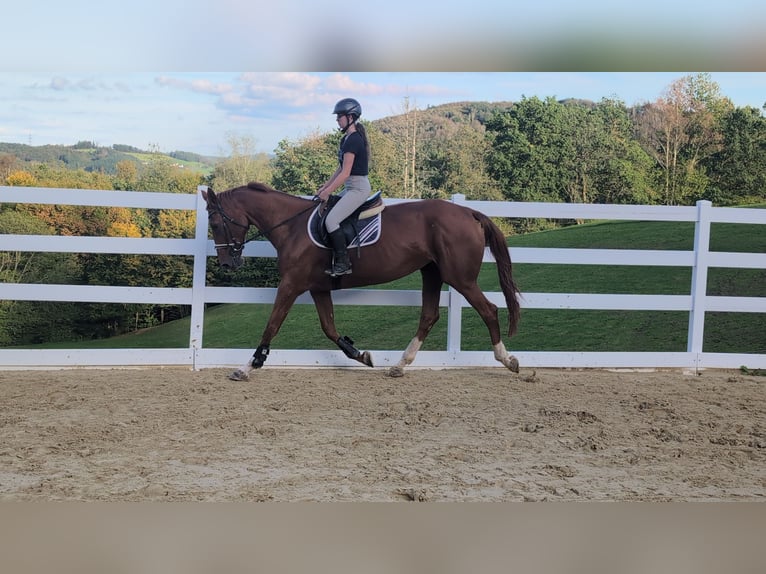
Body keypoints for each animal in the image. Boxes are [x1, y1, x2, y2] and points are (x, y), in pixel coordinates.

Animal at [202, 182, 521, 381]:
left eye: (215, 223)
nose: (227, 263)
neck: (291, 227)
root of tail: (469, 212)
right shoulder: (318, 288)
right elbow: (329, 328)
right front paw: (361, 355)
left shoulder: (291, 284)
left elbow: (272, 324)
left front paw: (247, 367)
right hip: (431, 272)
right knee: (429, 315)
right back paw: (399, 366)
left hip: (460, 277)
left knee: (488, 310)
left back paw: (508, 360)